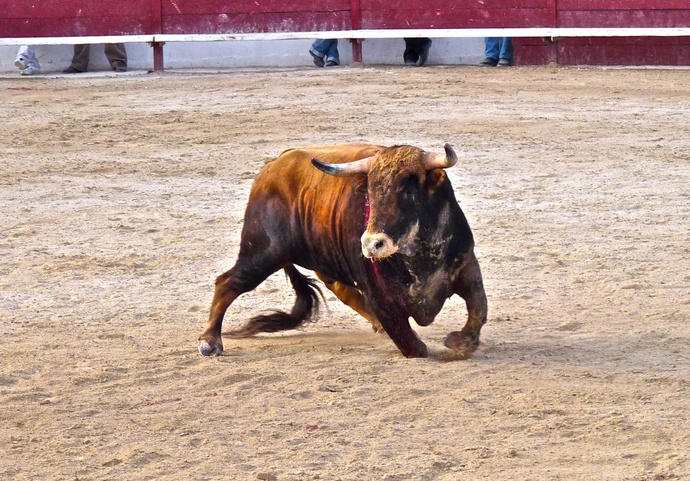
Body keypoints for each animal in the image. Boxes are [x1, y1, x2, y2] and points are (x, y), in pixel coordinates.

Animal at [198, 143, 487, 359]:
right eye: (370, 192)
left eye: (408, 191)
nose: (371, 244)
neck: (419, 255)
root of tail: (272, 165)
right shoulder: (378, 292)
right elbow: (411, 344)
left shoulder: (465, 264)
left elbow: (479, 309)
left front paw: (461, 343)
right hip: (261, 253)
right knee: (228, 282)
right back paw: (210, 341)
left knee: (341, 289)